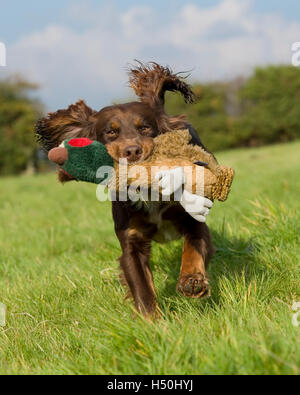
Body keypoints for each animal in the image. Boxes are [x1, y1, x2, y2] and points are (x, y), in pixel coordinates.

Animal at [35, 63, 213, 318]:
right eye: (111, 132)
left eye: (145, 128)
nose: (132, 151)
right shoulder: (130, 242)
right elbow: (141, 288)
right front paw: (153, 322)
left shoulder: (193, 220)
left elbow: (193, 248)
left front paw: (192, 280)